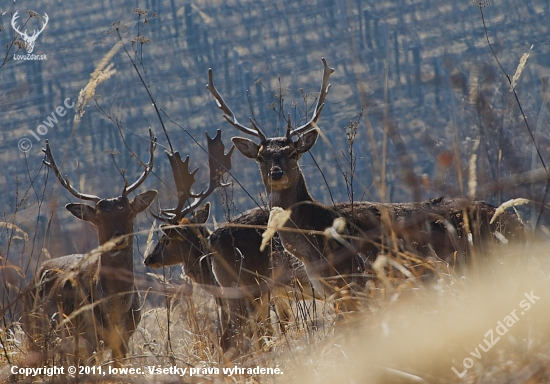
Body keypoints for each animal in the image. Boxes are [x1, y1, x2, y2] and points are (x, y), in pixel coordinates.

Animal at [26, 131, 160, 366]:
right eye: (98, 218)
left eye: (129, 212)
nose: (118, 238)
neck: (114, 311)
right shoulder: (85, 338)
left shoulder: (124, 338)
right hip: (36, 333)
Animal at [207, 57, 528, 304]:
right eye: (262, 156)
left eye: (293, 152)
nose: (277, 173)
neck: (315, 241)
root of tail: (519, 225)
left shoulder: (358, 280)